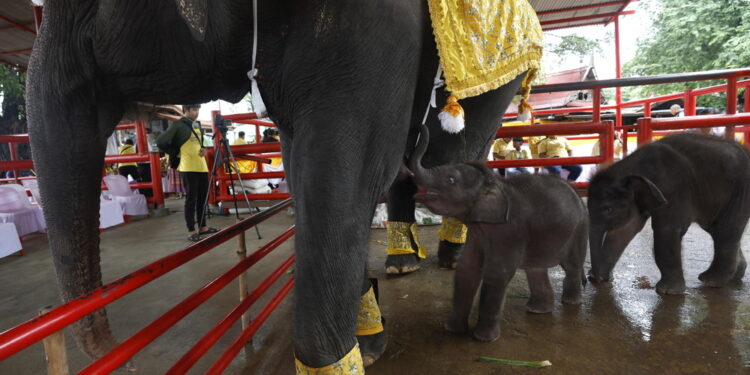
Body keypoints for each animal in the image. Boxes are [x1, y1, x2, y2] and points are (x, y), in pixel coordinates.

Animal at [26, 0, 536, 372]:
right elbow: (311, 178)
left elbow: (344, 178)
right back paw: (401, 264)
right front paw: (369, 342)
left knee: (456, 147)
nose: (118, 351)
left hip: (495, 74)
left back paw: (451, 257)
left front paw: (344, 356)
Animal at [412, 126, 588, 344]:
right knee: (536, 270)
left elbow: (497, 273)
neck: (493, 183)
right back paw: (537, 310)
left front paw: (482, 339)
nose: (420, 127)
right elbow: (466, 269)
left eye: (451, 179)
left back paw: (570, 303)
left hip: (579, 230)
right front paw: (452, 330)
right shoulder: (478, 233)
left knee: (571, 266)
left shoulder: (510, 231)